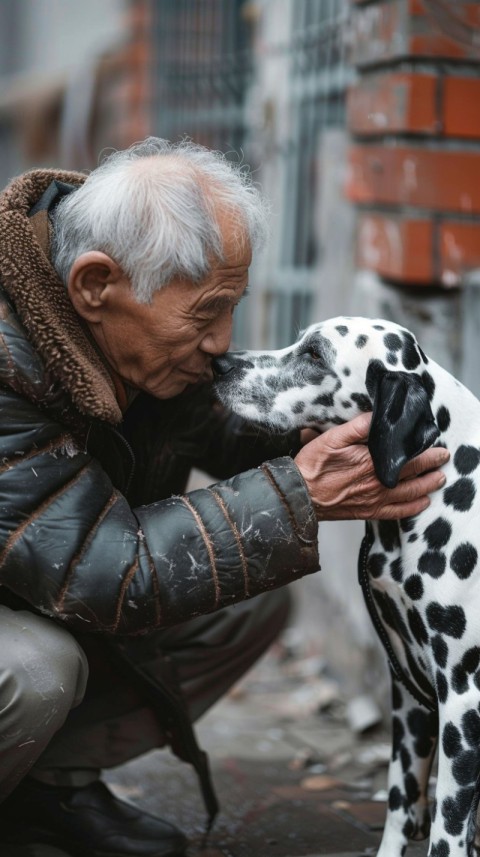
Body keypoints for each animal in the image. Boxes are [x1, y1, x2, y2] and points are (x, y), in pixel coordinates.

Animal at [215, 318, 480, 856]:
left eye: (316, 355)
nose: (220, 364)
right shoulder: (409, 691)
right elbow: (401, 804)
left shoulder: (463, 702)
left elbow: (446, 832)